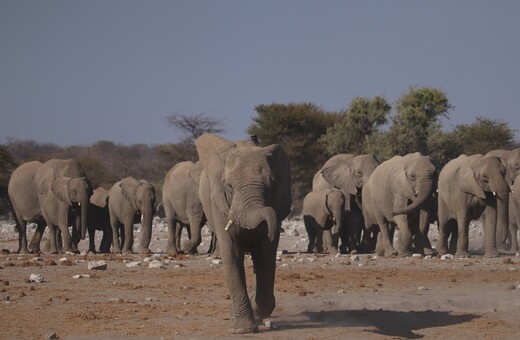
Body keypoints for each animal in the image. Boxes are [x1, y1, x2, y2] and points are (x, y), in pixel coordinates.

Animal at [196, 133, 292, 334]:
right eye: (229, 186)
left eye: (272, 187)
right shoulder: (219, 205)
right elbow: (232, 253)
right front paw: (242, 330)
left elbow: (265, 255)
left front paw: (257, 312)